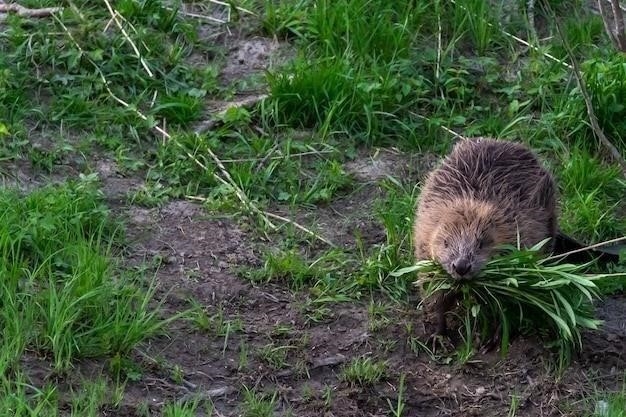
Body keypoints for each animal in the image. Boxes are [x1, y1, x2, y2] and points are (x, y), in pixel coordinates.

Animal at [412, 136, 552, 334]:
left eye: (480, 243)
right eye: (446, 243)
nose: (461, 266)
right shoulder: (424, 243)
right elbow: (433, 292)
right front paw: (438, 333)